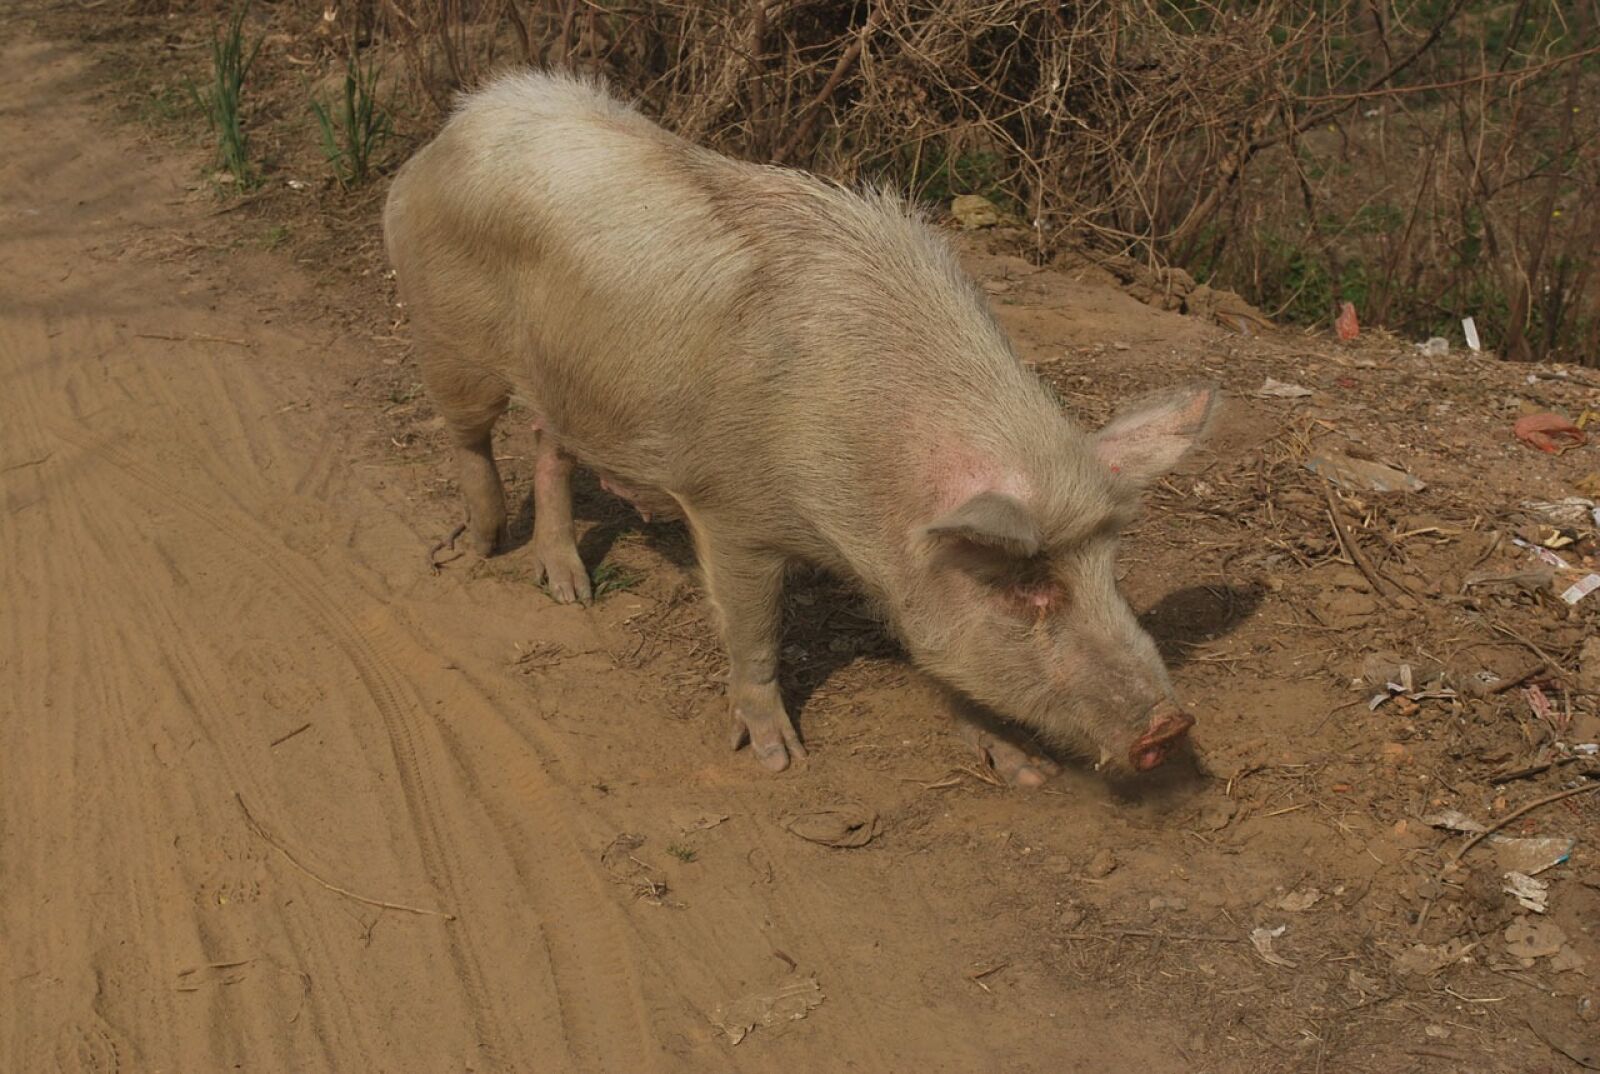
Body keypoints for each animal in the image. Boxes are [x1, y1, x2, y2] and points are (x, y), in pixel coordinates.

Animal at [383, 71, 1217, 782]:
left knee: (547, 443)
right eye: (1027, 586)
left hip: (575, 380)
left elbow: (942, 656)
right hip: (446, 333)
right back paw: (483, 543)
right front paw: (779, 758)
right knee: (470, 434)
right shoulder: (731, 511)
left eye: (1110, 570)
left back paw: (569, 591)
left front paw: (1022, 772)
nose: (1172, 727)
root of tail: (460, 119)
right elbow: (754, 631)